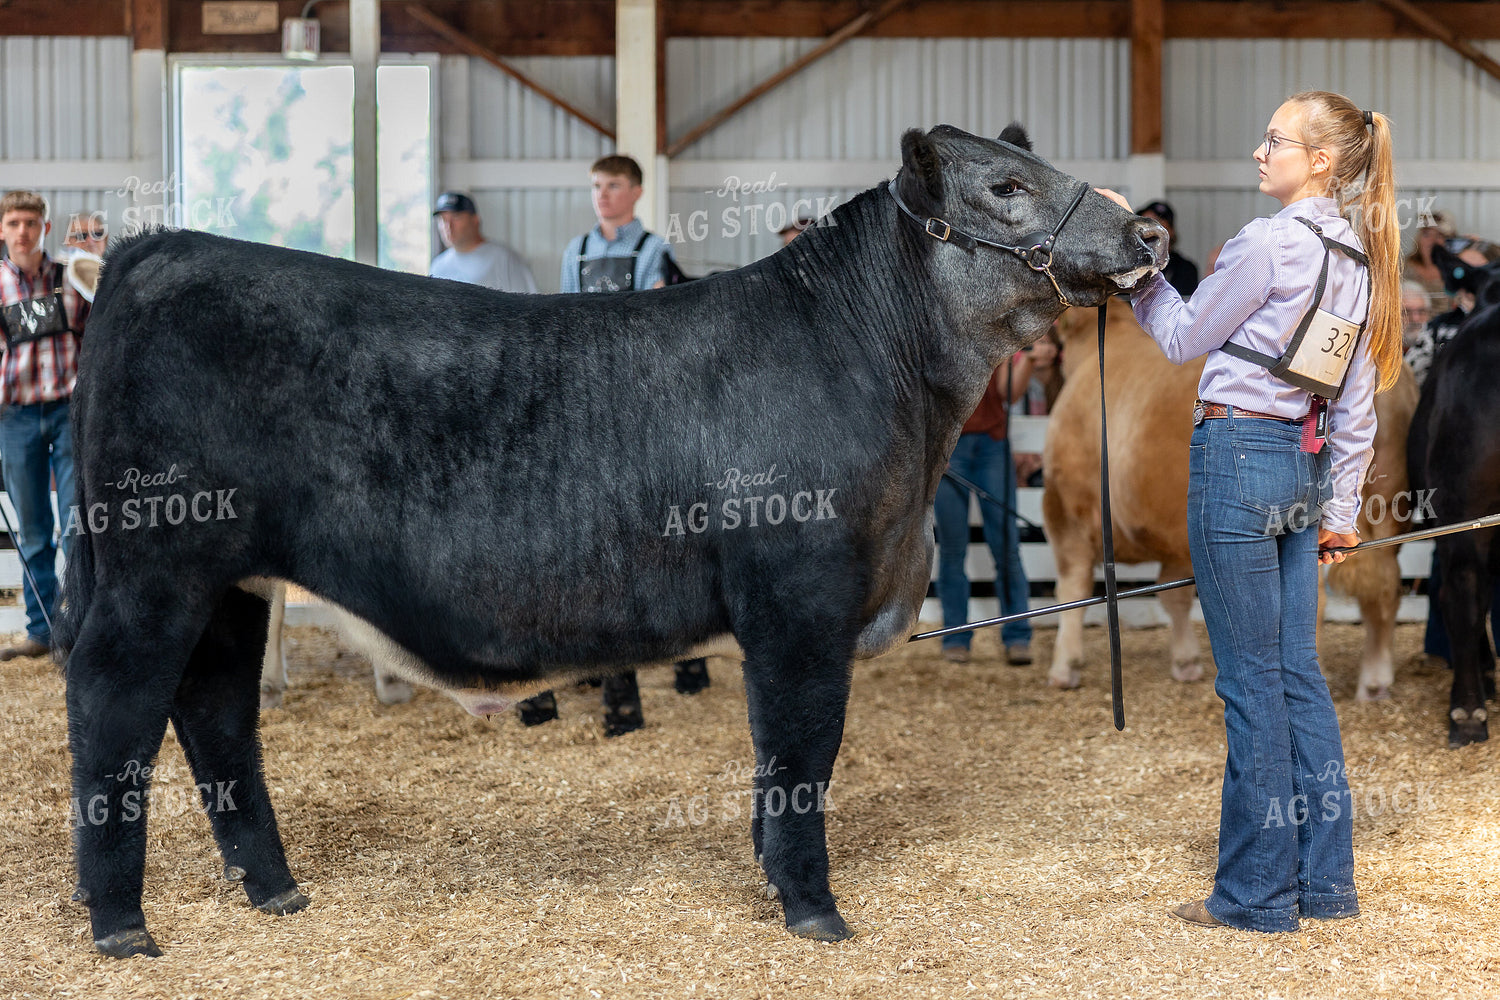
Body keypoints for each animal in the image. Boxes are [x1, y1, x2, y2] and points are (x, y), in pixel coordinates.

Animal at [56, 124, 1165, 957]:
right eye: (1006, 186)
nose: (1146, 231)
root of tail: (154, 250)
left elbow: (780, 763)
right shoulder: (799, 603)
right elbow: (801, 752)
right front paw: (814, 907)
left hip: (229, 582)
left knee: (215, 710)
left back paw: (274, 889)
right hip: (153, 570)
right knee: (114, 703)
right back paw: (122, 926)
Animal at [1043, 301, 1419, 699]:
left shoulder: (1062, 507)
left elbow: (1072, 587)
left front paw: (1065, 666)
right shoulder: (1178, 530)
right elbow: (1173, 594)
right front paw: (1186, 662)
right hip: (1389, 514)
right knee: (1385, 589)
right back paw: (1375, 681)